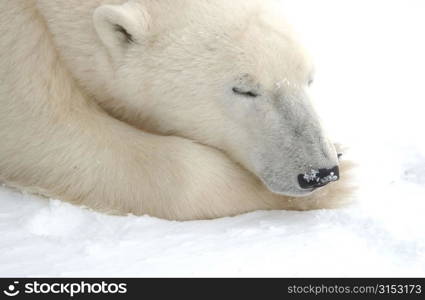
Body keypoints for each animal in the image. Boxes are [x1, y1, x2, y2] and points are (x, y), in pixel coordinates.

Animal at [0, 0, 352, 220]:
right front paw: (341, 184)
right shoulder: (17, 47)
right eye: (244, 89)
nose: (321, 173)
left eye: (309, 78)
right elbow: (47, 130)